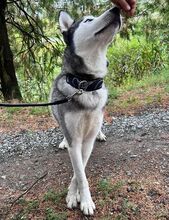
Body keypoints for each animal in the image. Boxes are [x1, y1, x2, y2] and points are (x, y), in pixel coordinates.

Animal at [50, 6, 121, 215]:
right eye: (88, 20)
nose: (117, 9)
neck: (85, 84)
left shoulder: (87, 141)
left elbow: (79, 170)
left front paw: (77, 196)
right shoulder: (75, 140)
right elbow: (80, 173)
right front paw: (80, 198)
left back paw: (101, 134)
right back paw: (63, 141)